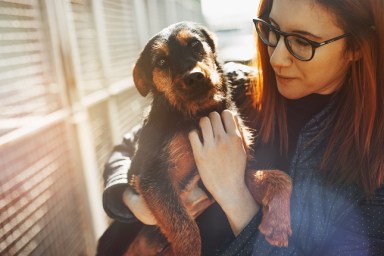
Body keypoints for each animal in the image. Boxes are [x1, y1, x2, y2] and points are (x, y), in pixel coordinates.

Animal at [126, 21, 292, 255]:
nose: (194, 77)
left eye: (195, 44)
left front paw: (278, 223)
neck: (198, 114)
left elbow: (278, 177)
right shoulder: (154, 179)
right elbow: (185, 227)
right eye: (161, 62)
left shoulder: (230, 178)